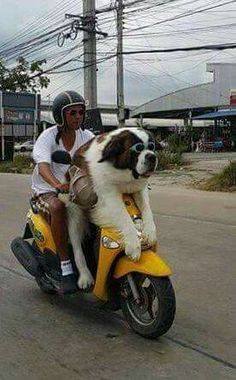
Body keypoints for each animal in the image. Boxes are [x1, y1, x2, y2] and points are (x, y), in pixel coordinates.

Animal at [62, 127, 159, 288]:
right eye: (137, 148)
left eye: (152, 147)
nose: (152, 156)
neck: (124, 174)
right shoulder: (109, 195)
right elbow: (125, 219)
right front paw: (134, 245)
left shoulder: (140, 189)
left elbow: (147, 209)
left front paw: (150, 232)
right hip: (75, 213)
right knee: (77, 248)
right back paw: (85, 277)